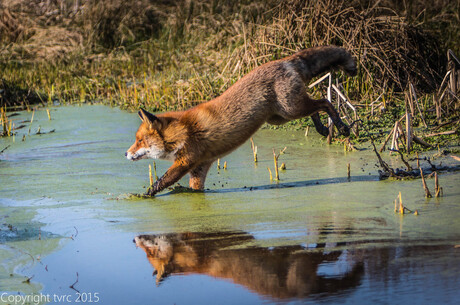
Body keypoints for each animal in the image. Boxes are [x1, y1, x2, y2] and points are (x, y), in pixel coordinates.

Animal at [127, 45, 358, 195]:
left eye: (139, 141)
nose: (126, 154)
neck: (183, 130)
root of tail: (284, 60)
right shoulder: (200, 166)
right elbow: (195, 190)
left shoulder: (186, 161)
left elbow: (161, 181)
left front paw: (143, 195)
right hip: (281, 117)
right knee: (316, 107)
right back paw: (322, 129)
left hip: (291, 109)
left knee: (325, 103)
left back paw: (341, 127)